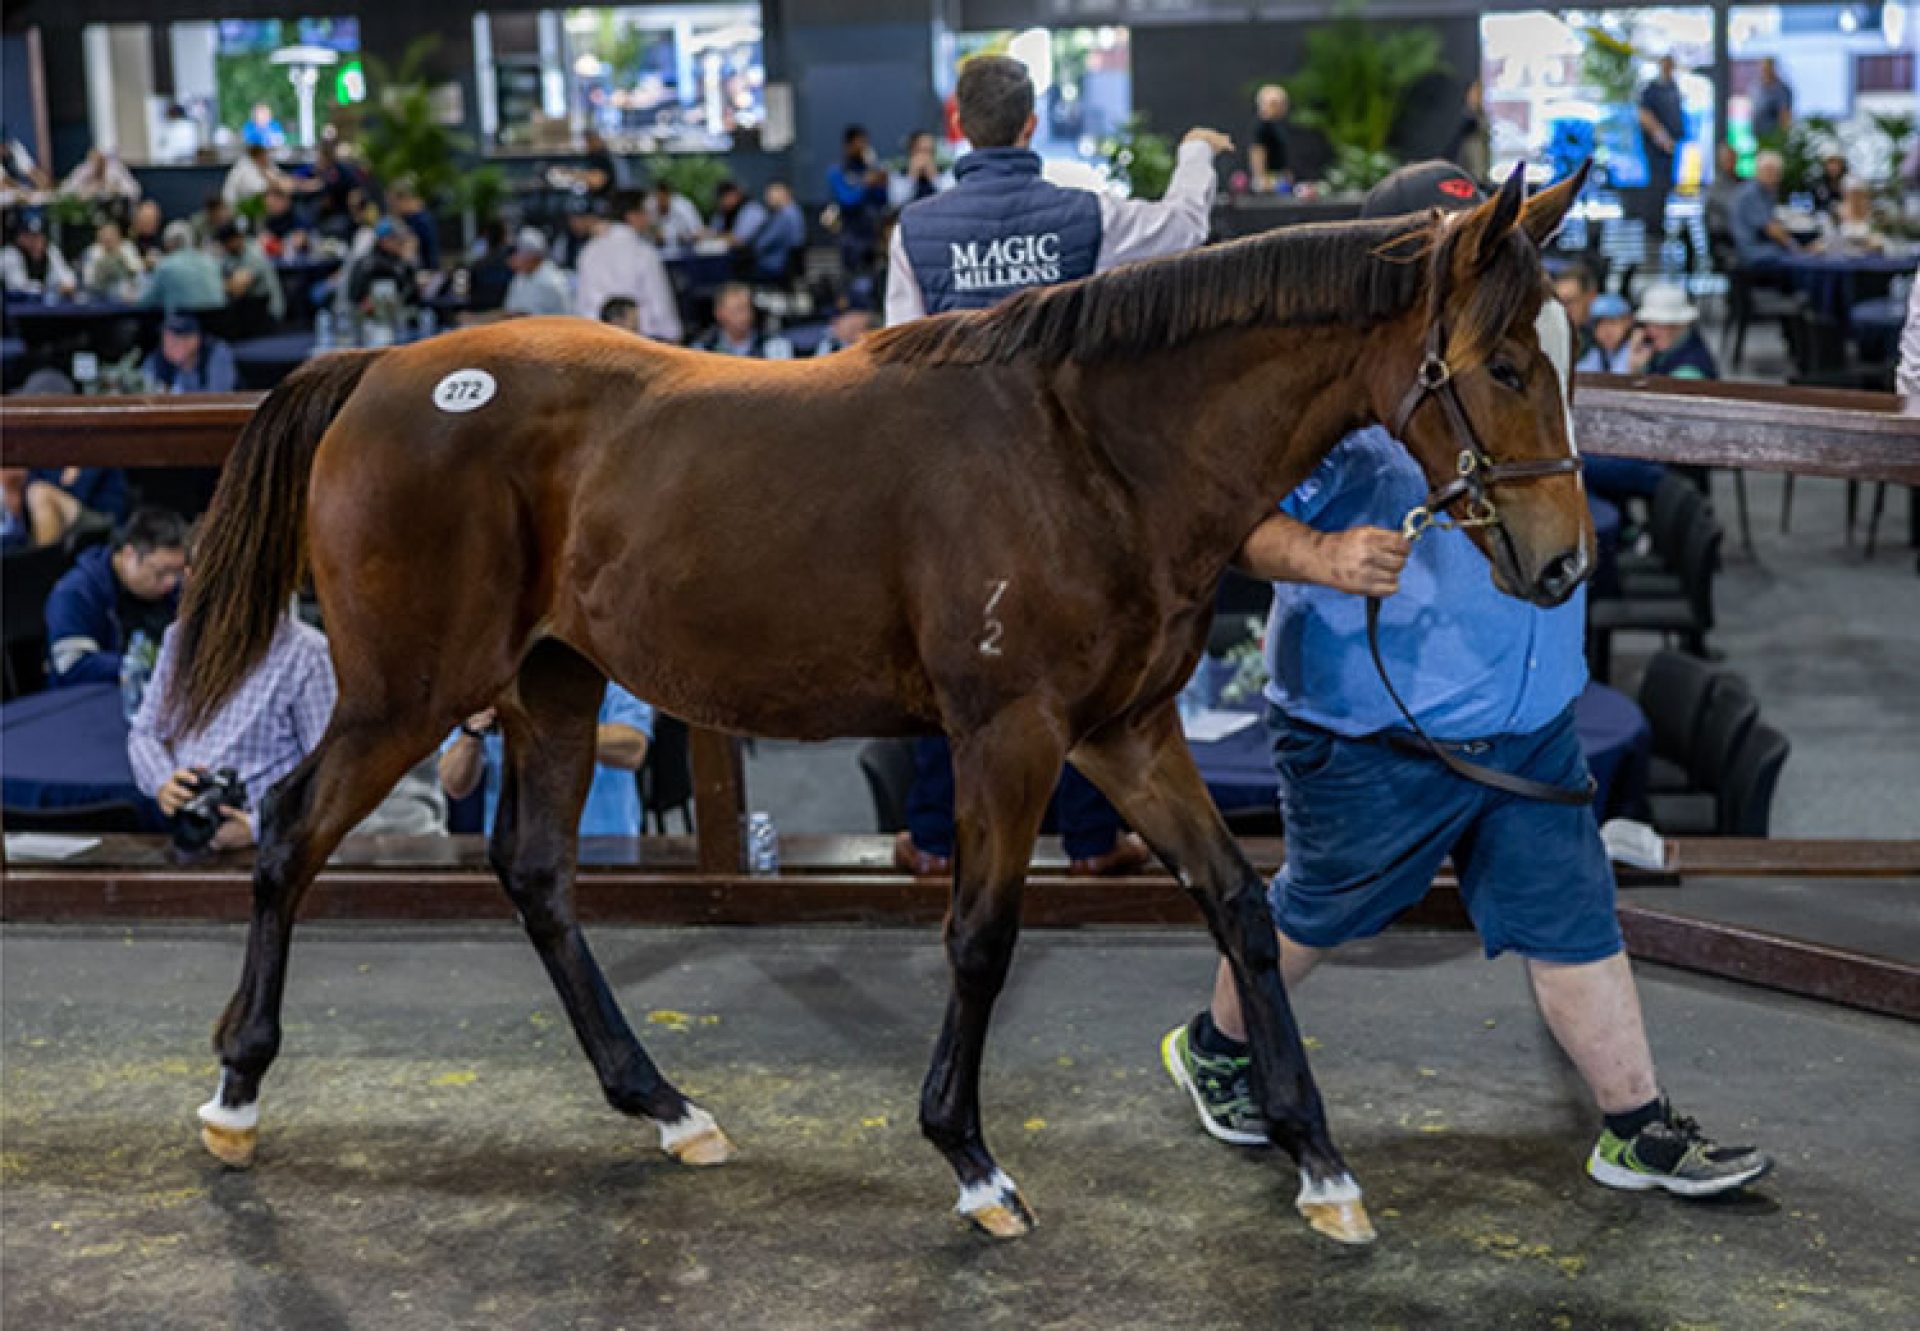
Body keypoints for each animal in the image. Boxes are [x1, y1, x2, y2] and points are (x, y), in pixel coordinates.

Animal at [168, 166, 1589, 1244]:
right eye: (1508, 363)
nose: (1562, 561)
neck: (1094, 453)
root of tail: (382, 370)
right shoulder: (1009, 736)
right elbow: (980, 935)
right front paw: (972, 1160)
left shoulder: (1125, 733)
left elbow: (1243, 906)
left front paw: (1319, 1162)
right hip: (408, 688)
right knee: (290, 832)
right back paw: (236, 1094)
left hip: (553, 684)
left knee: (535, 874)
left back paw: (665, 1103)